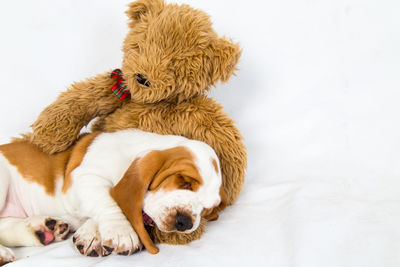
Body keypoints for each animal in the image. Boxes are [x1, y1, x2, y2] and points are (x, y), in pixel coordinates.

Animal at [0, 129, 222, 264]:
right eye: (184, 181)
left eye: (206, 209)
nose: (185, 222)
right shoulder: (84, 178)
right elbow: (108, 199)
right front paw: (121, 232)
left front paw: (92, 235)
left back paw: (44, 230)